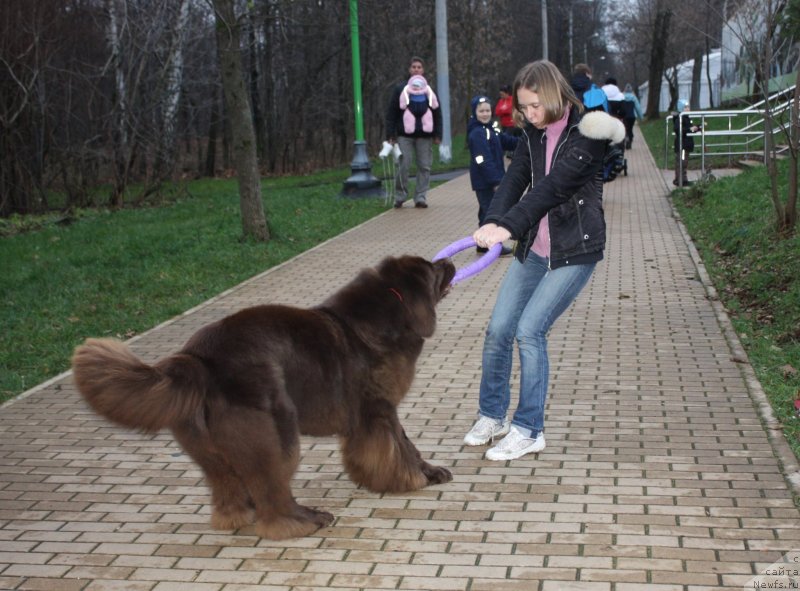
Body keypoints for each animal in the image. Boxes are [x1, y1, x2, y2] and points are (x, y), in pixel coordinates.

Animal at [70, 254, 456, 540]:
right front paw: (413, 478)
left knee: (228, 485)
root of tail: (199, 357)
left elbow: (397, 446)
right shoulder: (378, 408)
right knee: (273, 491)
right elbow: (400, 446)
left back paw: (238, 515)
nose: (449, 260)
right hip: (275, 430)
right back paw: (303, 520)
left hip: (205, 445)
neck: (391, 311)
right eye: (432, 268)